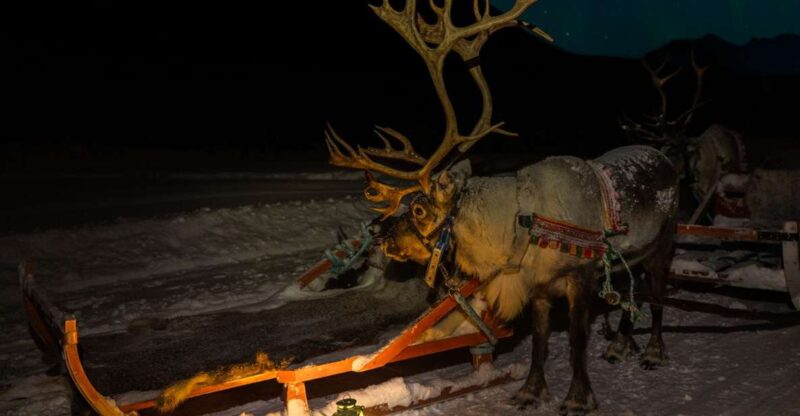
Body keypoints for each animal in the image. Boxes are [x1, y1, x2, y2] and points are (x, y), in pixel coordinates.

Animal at [324, 1, 679, 414]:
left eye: (419, 210)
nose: (381, 236)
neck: (519, 225)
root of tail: (664, 155)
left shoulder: (581, 278)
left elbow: (577, 341)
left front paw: (578, 397)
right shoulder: (537, 285)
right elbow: (539, 341)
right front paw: (530, 391)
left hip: (664, 242)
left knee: (656, 296)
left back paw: (653, 351)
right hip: (628, 258)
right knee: (630, 295)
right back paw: (620, 345)